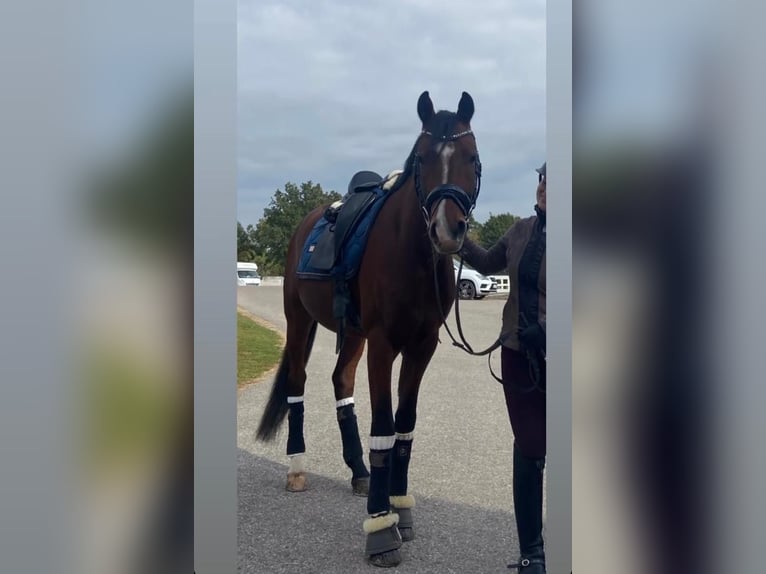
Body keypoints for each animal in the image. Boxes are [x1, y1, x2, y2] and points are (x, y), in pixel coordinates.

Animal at [258, 92, 486, 568]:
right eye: (421, 159)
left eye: (472, 158)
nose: (446, 229)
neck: (411, 255)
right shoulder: (384, 345)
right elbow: (383, 425)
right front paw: (381, 527)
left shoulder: (421, 347)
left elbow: (405, 426)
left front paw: (399, 506)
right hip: (299, 321)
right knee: (297, 385)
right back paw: (297, 466)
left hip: (354, 335)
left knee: (340, 383)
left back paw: (359, 471)